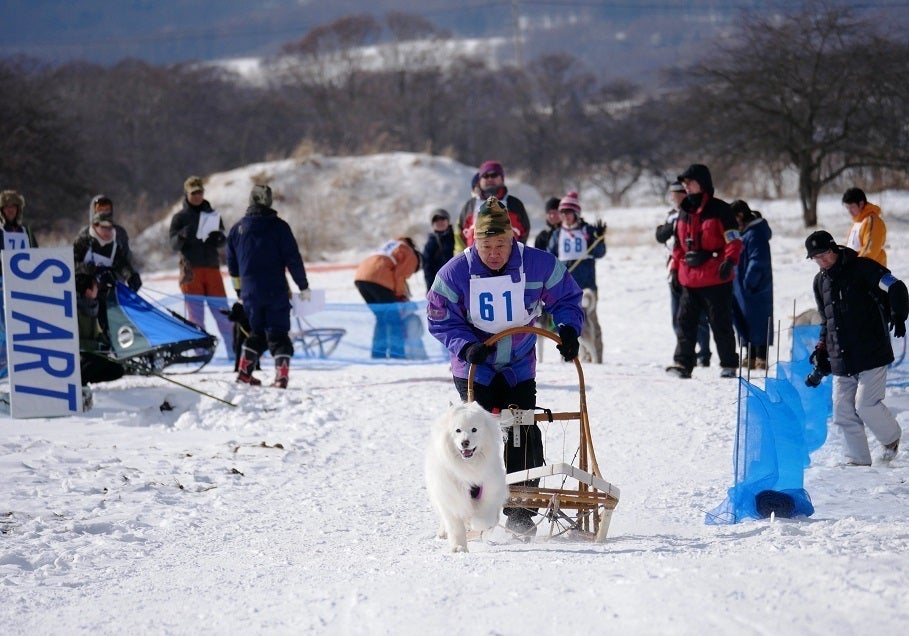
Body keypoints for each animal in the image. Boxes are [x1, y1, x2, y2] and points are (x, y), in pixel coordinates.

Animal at [425, 402, 508, 553]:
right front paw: (459, 547)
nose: (465, 442)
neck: (468, 467)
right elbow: (455, 527)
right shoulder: (451, 497)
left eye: (474, 429)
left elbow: (483, 519)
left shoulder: (490, 493)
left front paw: (476, 525)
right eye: (458, 430)